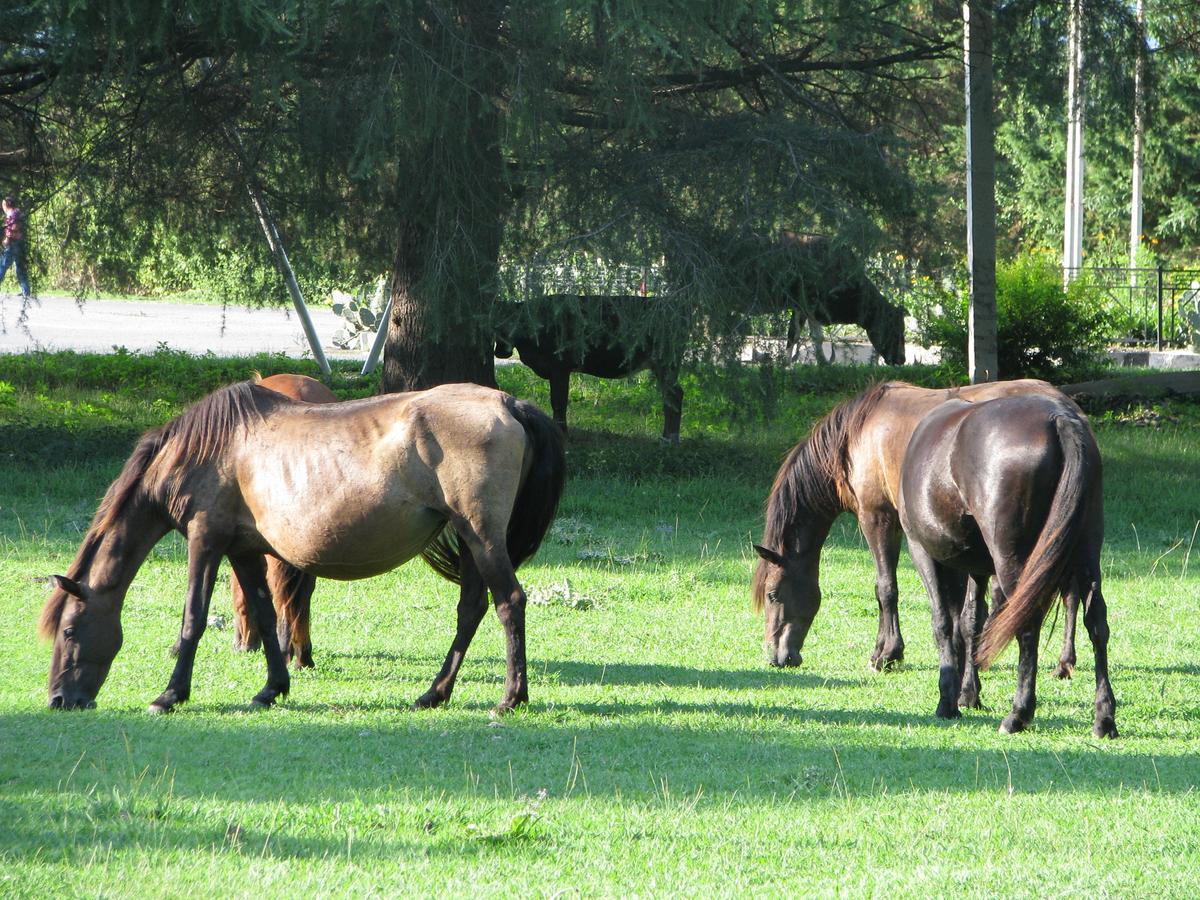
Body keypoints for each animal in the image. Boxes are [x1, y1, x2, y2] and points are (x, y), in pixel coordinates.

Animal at [37, 381, 561, 720]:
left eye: (69, 630)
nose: (60, 700)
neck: (205, 448)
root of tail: (508, 403)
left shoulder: (206, 540)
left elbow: (193, 619)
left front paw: (170, 695)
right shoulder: (243, 550)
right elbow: (266, 615)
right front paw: (271, 688)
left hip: (482, 536)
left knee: (509, 603)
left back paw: (511, 697)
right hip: (472, 541)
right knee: (471, 610)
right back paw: (434, 694)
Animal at [902, 393, 1113, 739]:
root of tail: (1059, 418)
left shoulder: (923, 552)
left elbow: (943, 623)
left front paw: (948, 701)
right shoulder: (977, 568)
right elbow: (972, 622)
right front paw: (968, 693)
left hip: (1013, 562)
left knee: (1027, 627)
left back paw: (1018, 714)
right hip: (1085, 555)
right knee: (1096, 623)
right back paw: (1104, 719)